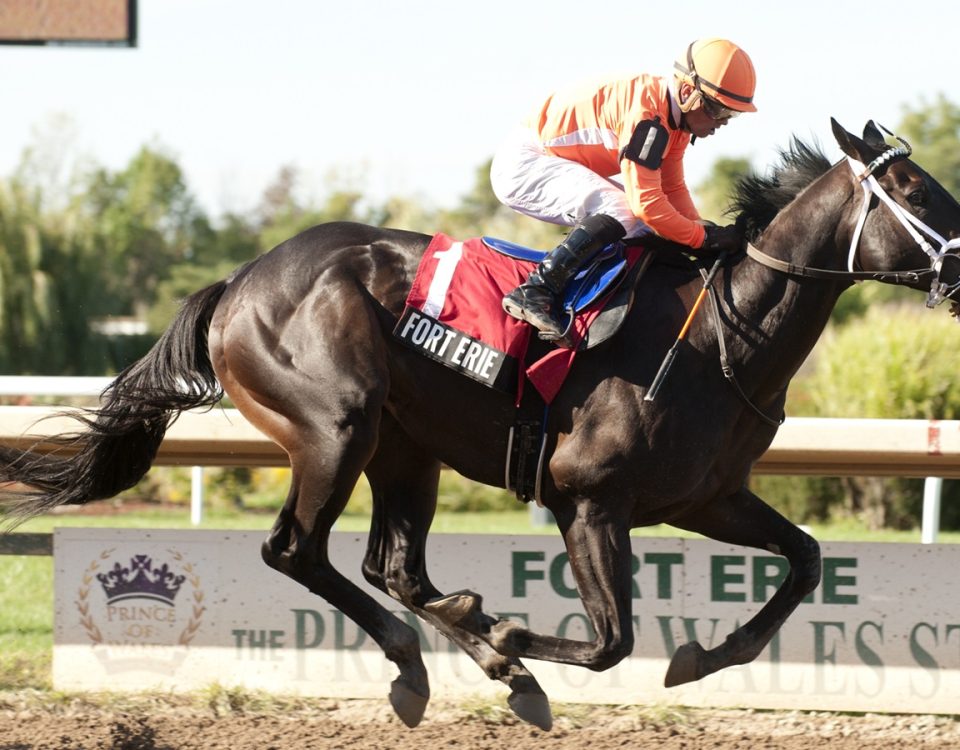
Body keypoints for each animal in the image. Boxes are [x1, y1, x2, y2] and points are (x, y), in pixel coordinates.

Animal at [1, 120, 960, 732]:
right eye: (912, 187)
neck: (721, 336)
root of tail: (240, 280)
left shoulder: (708, 499)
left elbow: (805, 561)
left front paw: (699, 657)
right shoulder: (588, 501)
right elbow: (612, 641)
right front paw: (511, 637)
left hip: (404, 449)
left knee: (392, 566)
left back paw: (464, 659)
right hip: (335, 426)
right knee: (297, 550)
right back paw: (440, 658)